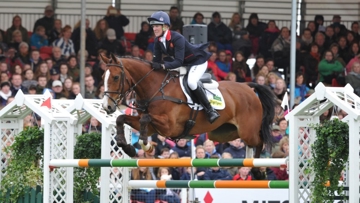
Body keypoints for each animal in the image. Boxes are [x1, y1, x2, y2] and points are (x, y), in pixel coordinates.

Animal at [101, 53, 276, 158]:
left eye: (116, 77)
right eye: (103, 77)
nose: (107, 107)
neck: (155, 88)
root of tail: (248, 87)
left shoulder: (169, 126)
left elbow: (145, 119)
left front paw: (146, 145)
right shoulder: (152, 127)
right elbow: (122, 119)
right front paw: (127, 147)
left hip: (247, 131)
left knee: (260, 141)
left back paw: (257, 170)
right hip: (223, 133)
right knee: (249, 144)